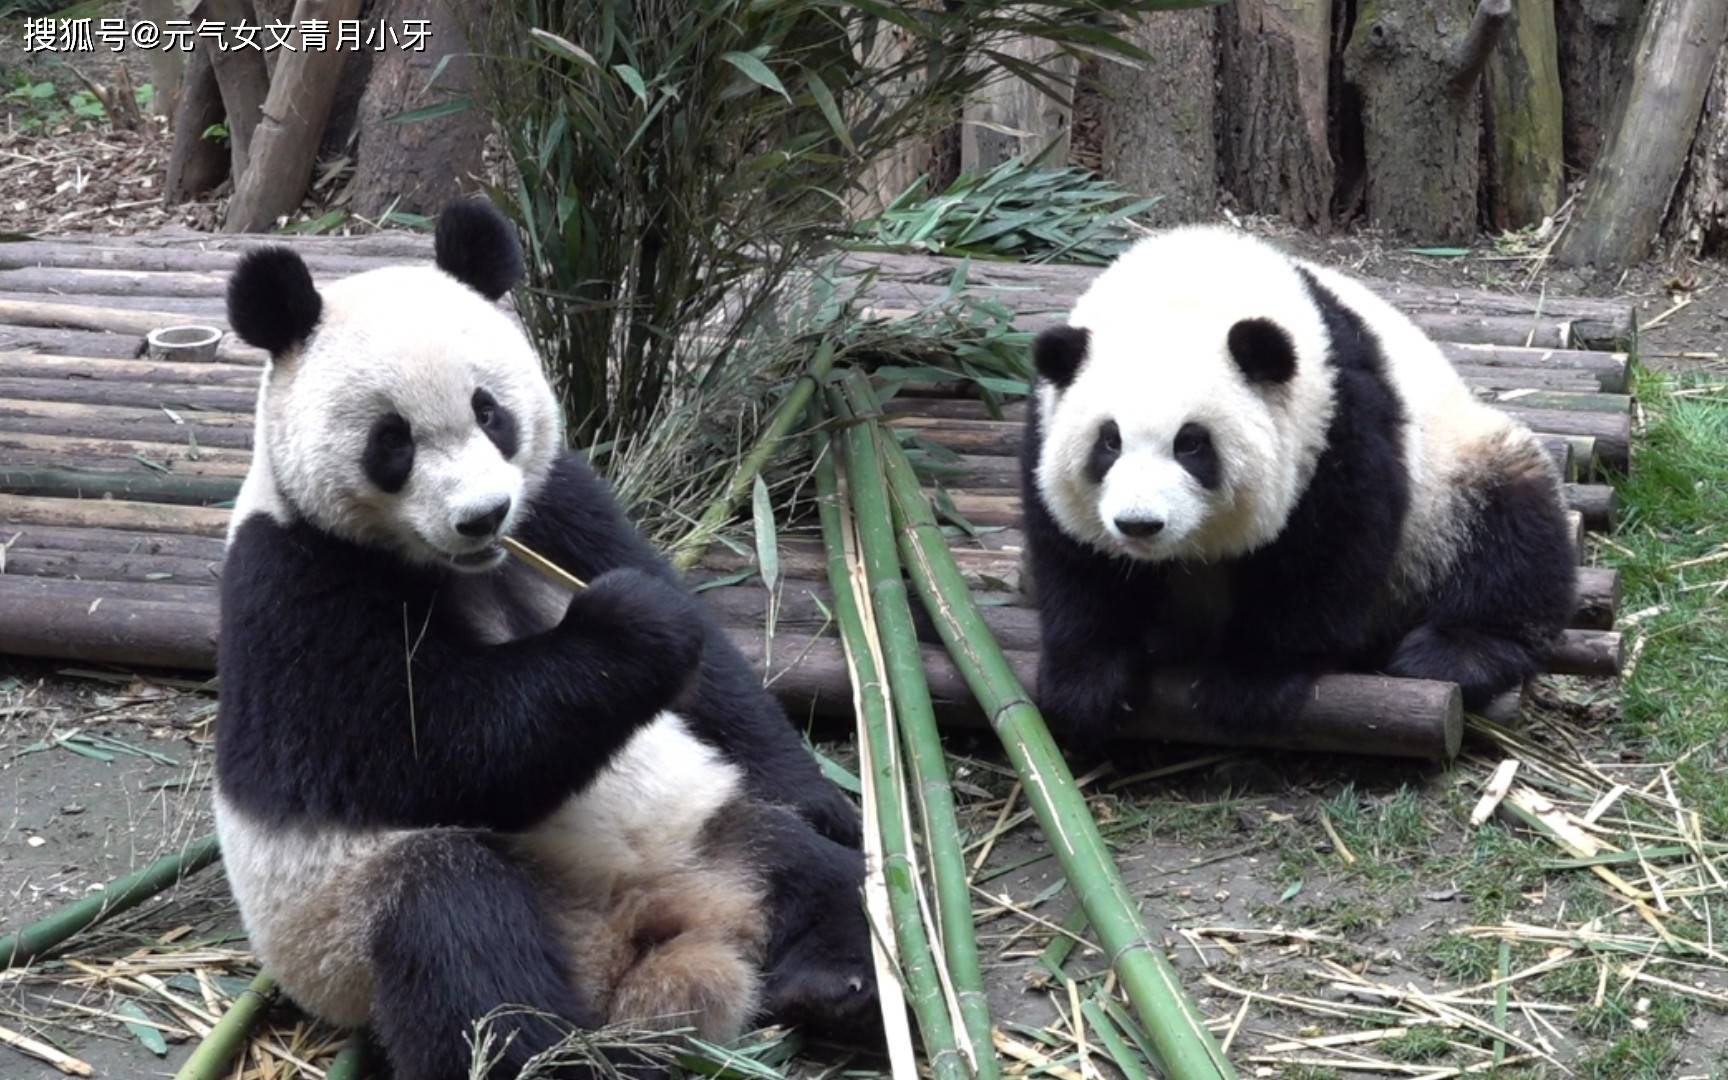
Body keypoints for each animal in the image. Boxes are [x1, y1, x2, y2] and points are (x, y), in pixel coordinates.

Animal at [216, 200, 877, 1078]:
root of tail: (644, 940)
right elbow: (420, 745)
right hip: (353, 917)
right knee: (459, 936)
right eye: (392, 441)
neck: (464, 566)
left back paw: (838, 984)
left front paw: (825, 798)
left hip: (704, 823)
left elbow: (716, 681)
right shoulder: (295, 576)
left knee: (810, 869)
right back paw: (559, 1054)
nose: (482, 515)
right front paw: (633, 627)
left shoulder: (562, 502)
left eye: (488, 410)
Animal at [1022, 228, 1582, 749]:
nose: (1138, 524)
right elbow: (1078, 561)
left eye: (1191, 444)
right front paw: (1087, 684)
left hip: (1453, 476)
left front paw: (1249, 683)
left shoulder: (1336, 414)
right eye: (1109, 441)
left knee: (1512, 530)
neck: (1189, 286)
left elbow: (1328, 550)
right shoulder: (1045, 425)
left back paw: (1453, 651)